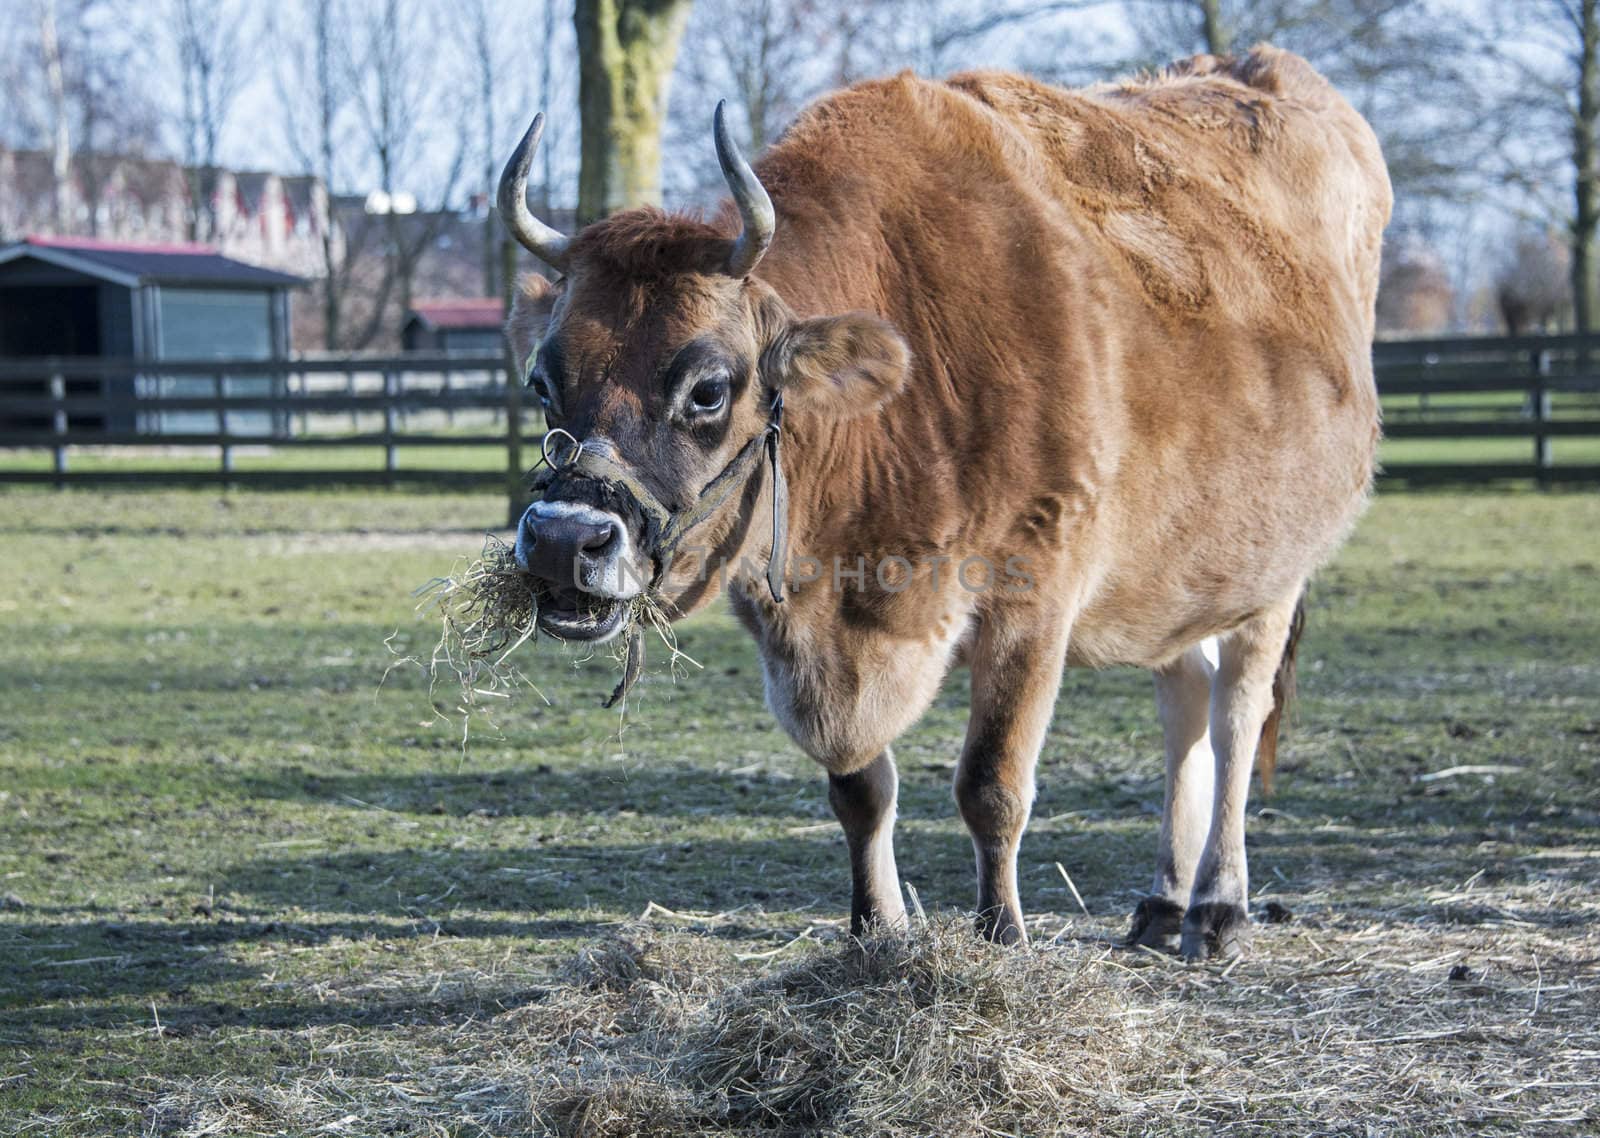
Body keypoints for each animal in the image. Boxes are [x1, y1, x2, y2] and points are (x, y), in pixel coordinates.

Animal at [496, 51, 1388, 960]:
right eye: (542, 379)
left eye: (709, 388)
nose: (565, 539)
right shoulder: (811, 635)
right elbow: (861, 792)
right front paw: (876, 931)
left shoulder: (1033, 599)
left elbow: (992, 784)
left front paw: (1001, 937)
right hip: (1178, 568)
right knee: (1186, 698)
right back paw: (1164, 901)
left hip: (1272, 573)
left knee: (1239, 714)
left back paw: (1216, 904)